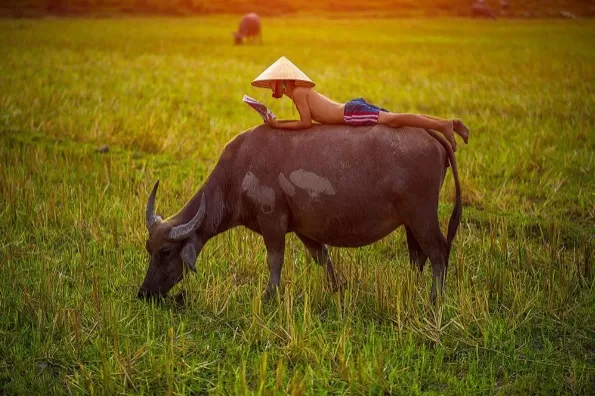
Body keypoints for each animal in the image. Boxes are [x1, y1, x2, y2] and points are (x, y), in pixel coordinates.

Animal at [141, 124, 466, 304]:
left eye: (166, 251)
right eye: (149, 248)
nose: (144, 293)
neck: (237, 171)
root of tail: (431, 135)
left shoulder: (272, 222)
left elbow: (275, 260)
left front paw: (269, 295)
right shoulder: (303, 229)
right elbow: (322, 256)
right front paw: (338, 288)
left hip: (422, 216)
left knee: (438, 251)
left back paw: (435, 298)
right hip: (411, 222)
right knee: (418, 256)